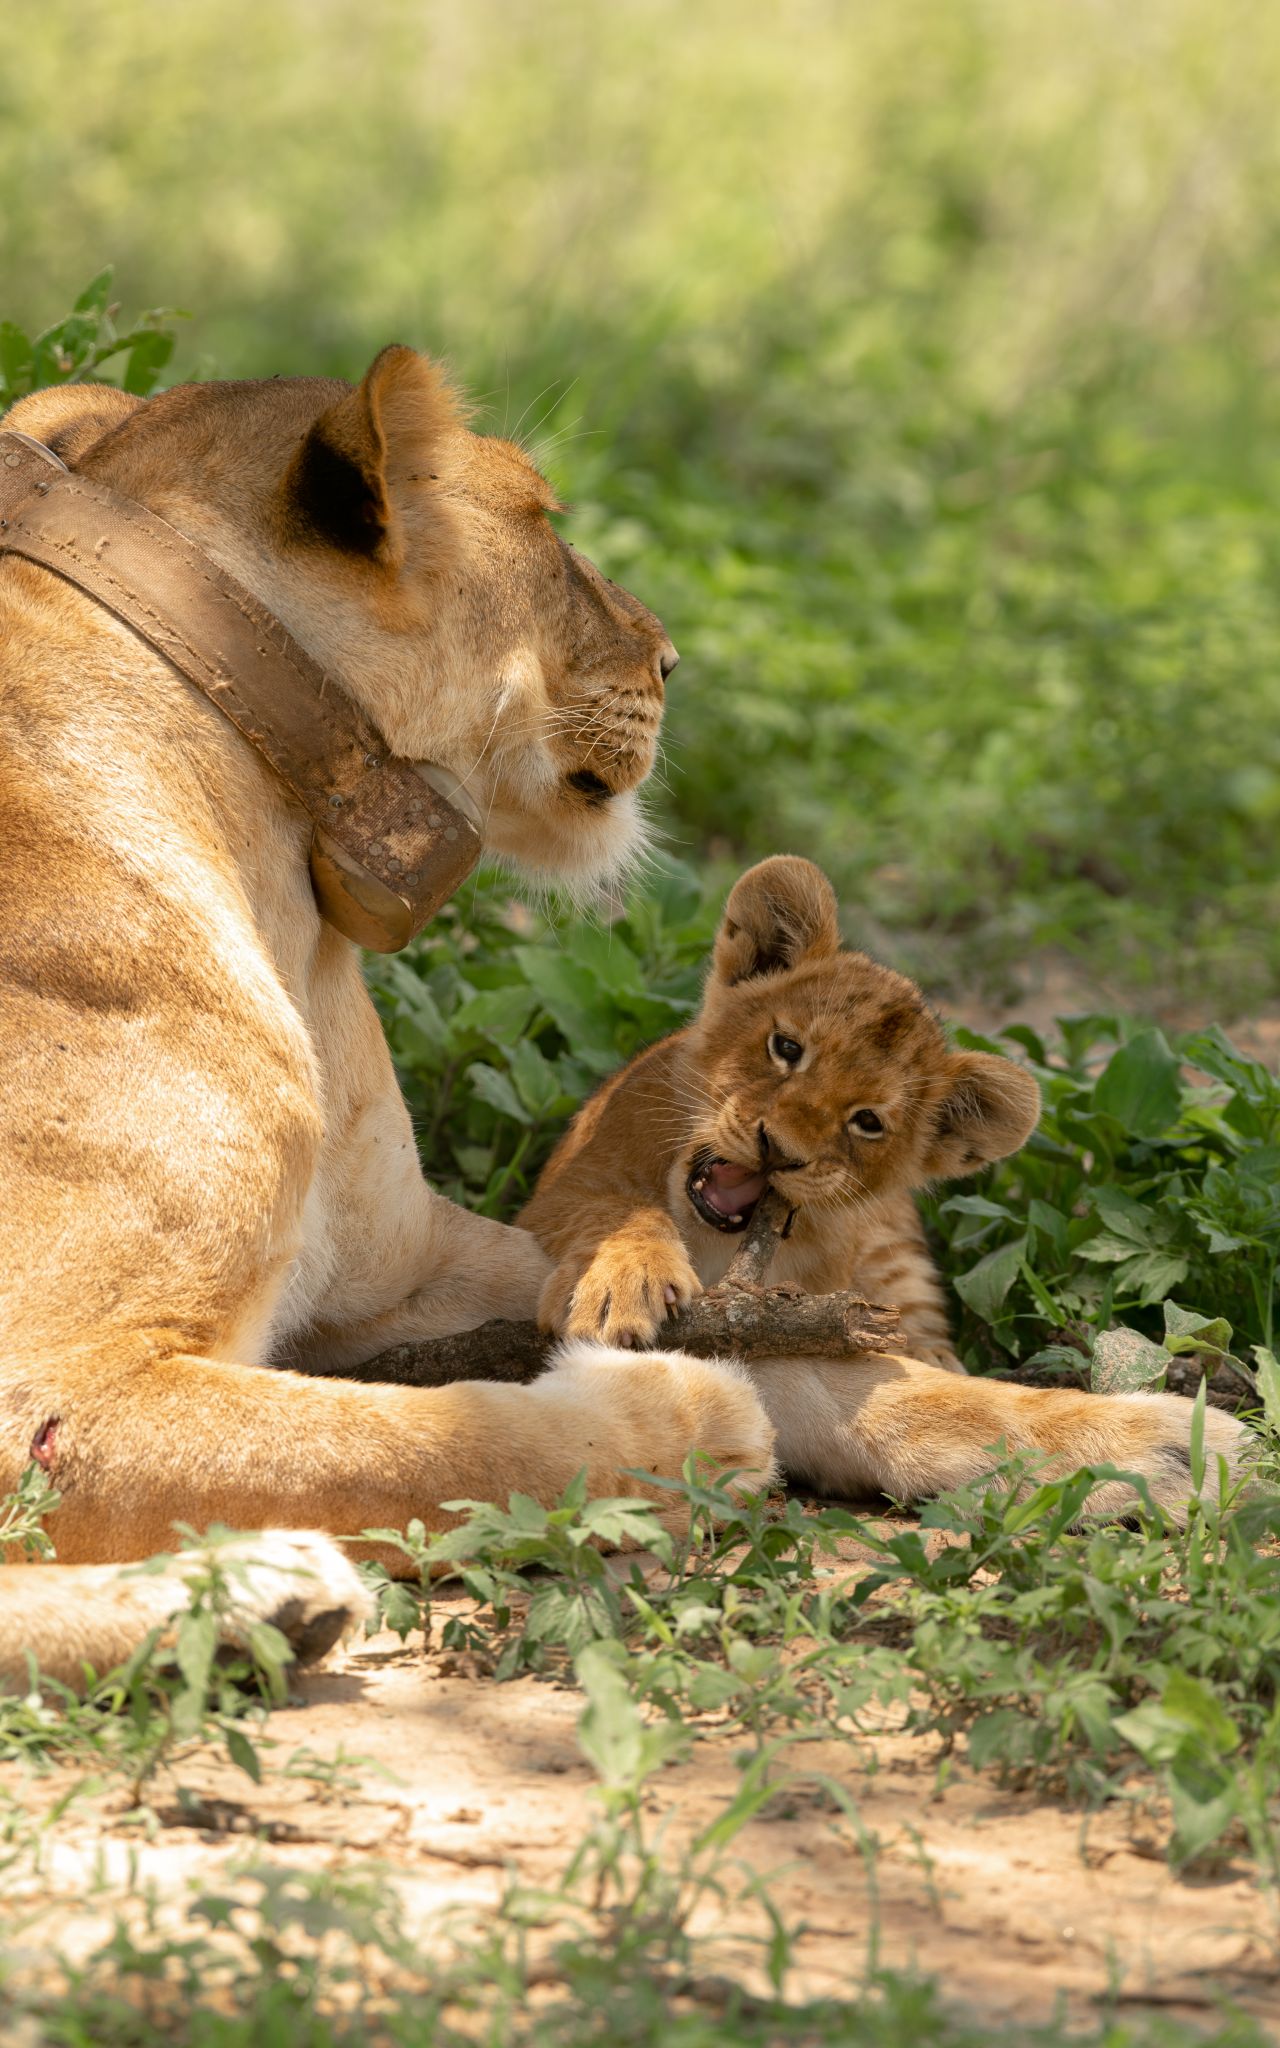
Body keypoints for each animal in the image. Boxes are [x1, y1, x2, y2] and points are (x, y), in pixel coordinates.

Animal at [522, 855, 1251, 1512]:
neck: (712, 1243)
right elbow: (614, 1213)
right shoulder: (561, 1190)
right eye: (786, 1048)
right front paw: (623, 1283)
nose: (778, 1149)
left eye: (867, 1122)